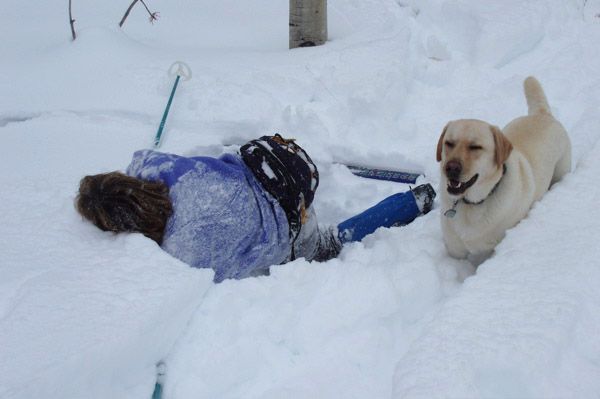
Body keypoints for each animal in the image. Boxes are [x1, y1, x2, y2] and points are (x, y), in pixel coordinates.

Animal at [436, 77, 572, 266]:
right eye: (449, 143)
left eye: (475, 147)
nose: (450, 168)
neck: (471, 204)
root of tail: (542, 114)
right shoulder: (454, 249)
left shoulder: (488, 250)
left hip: (562, 169)